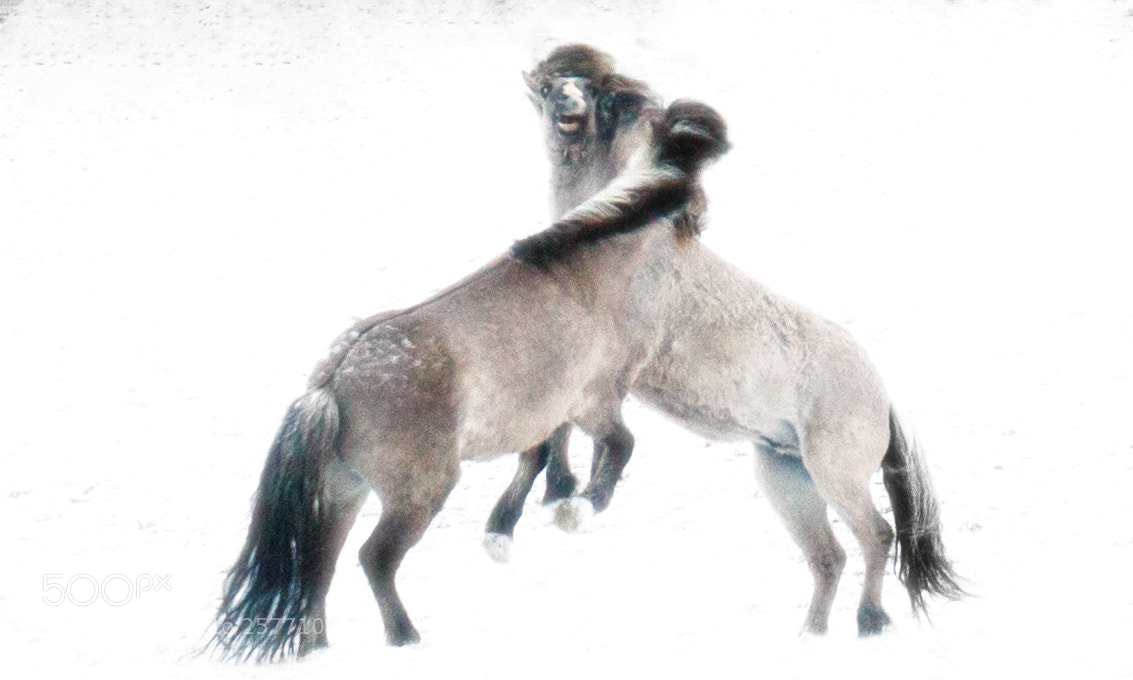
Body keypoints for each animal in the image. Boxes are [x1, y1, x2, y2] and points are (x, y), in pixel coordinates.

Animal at [207, 99, 731, 661]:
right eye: (697, 201)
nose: (703, 225)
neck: (587, 278)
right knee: (375, 559)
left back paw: (320, 650)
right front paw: (580, 506)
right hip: (419, 494)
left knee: (319, 570)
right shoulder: (594, 401)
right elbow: (618, 447)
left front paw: (509, 527)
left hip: (343, 491)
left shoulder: (544, 409)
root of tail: (333, 385)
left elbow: (539, 457)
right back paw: (406, 638)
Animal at [485, 44, 963, 637]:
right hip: (785, 474)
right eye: (550, 86)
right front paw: (525, 514)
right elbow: (545, 438)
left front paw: (572, 501)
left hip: (835, 472)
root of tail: (883, 398)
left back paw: (870, 621)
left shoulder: (612, 369)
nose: (567, 108)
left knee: (876, 536)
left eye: (598, 94)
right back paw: (810, 635)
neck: (619, 254)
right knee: (828, 557)